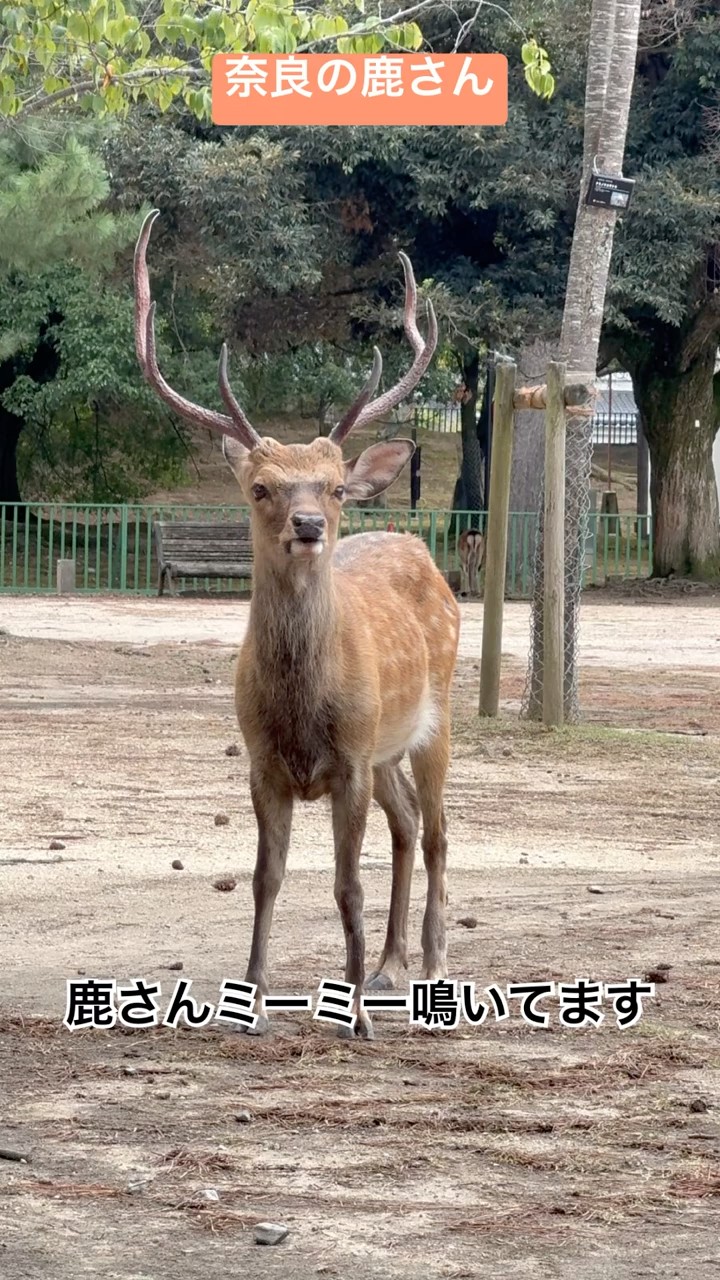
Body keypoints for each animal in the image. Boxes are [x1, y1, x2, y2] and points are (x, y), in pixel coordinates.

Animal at [134, 210, 461, 1039]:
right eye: (260, 487)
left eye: (337, 486)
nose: (309, 524)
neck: (302, 707)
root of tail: (420, 547)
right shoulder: (262, 761)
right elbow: (265, 877)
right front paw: (248, 1002)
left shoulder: (348, 758)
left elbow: (346, 885)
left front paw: (356, 1020)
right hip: (385, 749)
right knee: (406, 824)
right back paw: (387, 965)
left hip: (435, 715)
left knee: (438, 830)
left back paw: (431, 965)